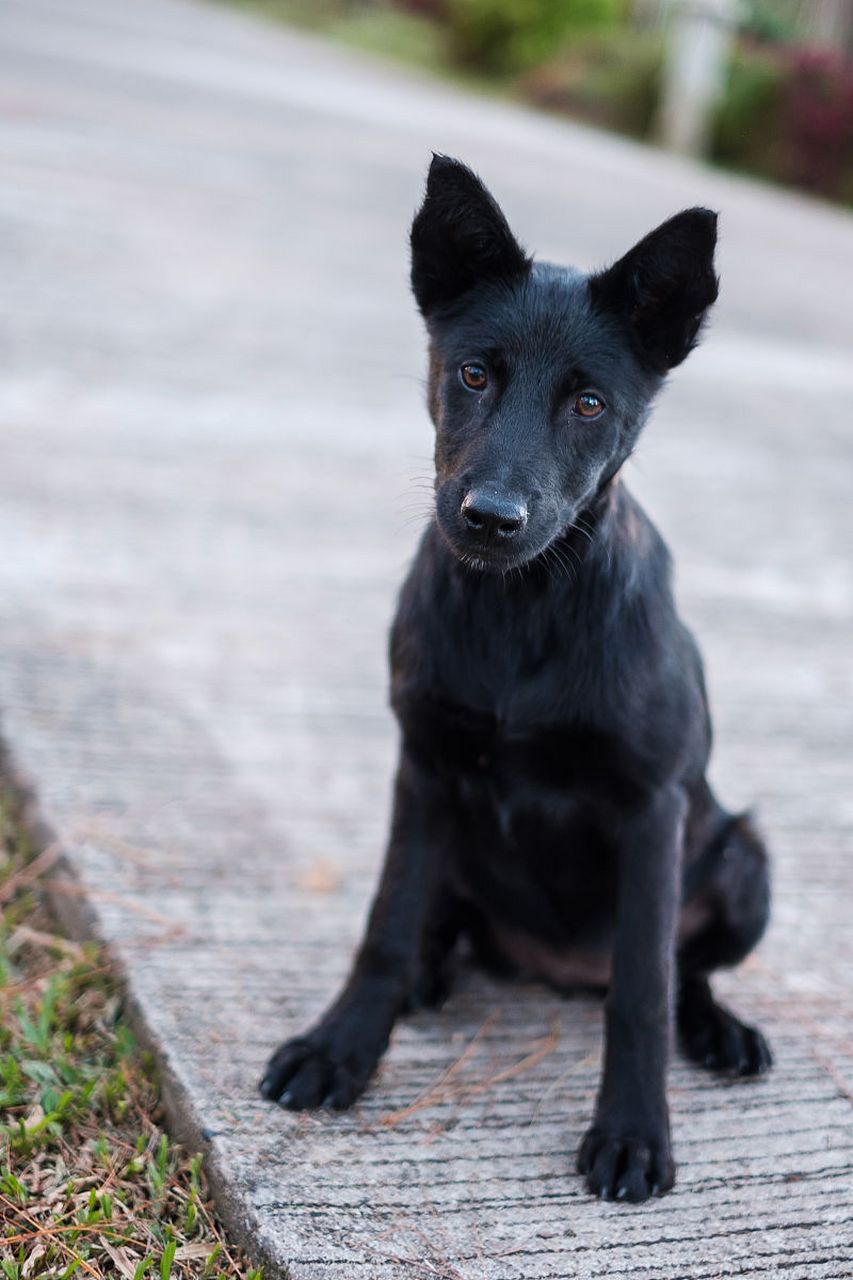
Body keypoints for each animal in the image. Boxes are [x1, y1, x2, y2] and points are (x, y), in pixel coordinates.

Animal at [262, 157, 773, 1198]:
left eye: (588, 404)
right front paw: (341, 1047)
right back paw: (428, 976)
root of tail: (554, 968)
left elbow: (643, 993)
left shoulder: (653, 809)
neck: (522, 607)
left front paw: (633, 1129)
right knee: (435, 924)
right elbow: (382, 927)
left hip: (745, 860)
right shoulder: (422, 769)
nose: (490, 518)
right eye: (473, 373)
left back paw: (717, 1030)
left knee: (680, 971)